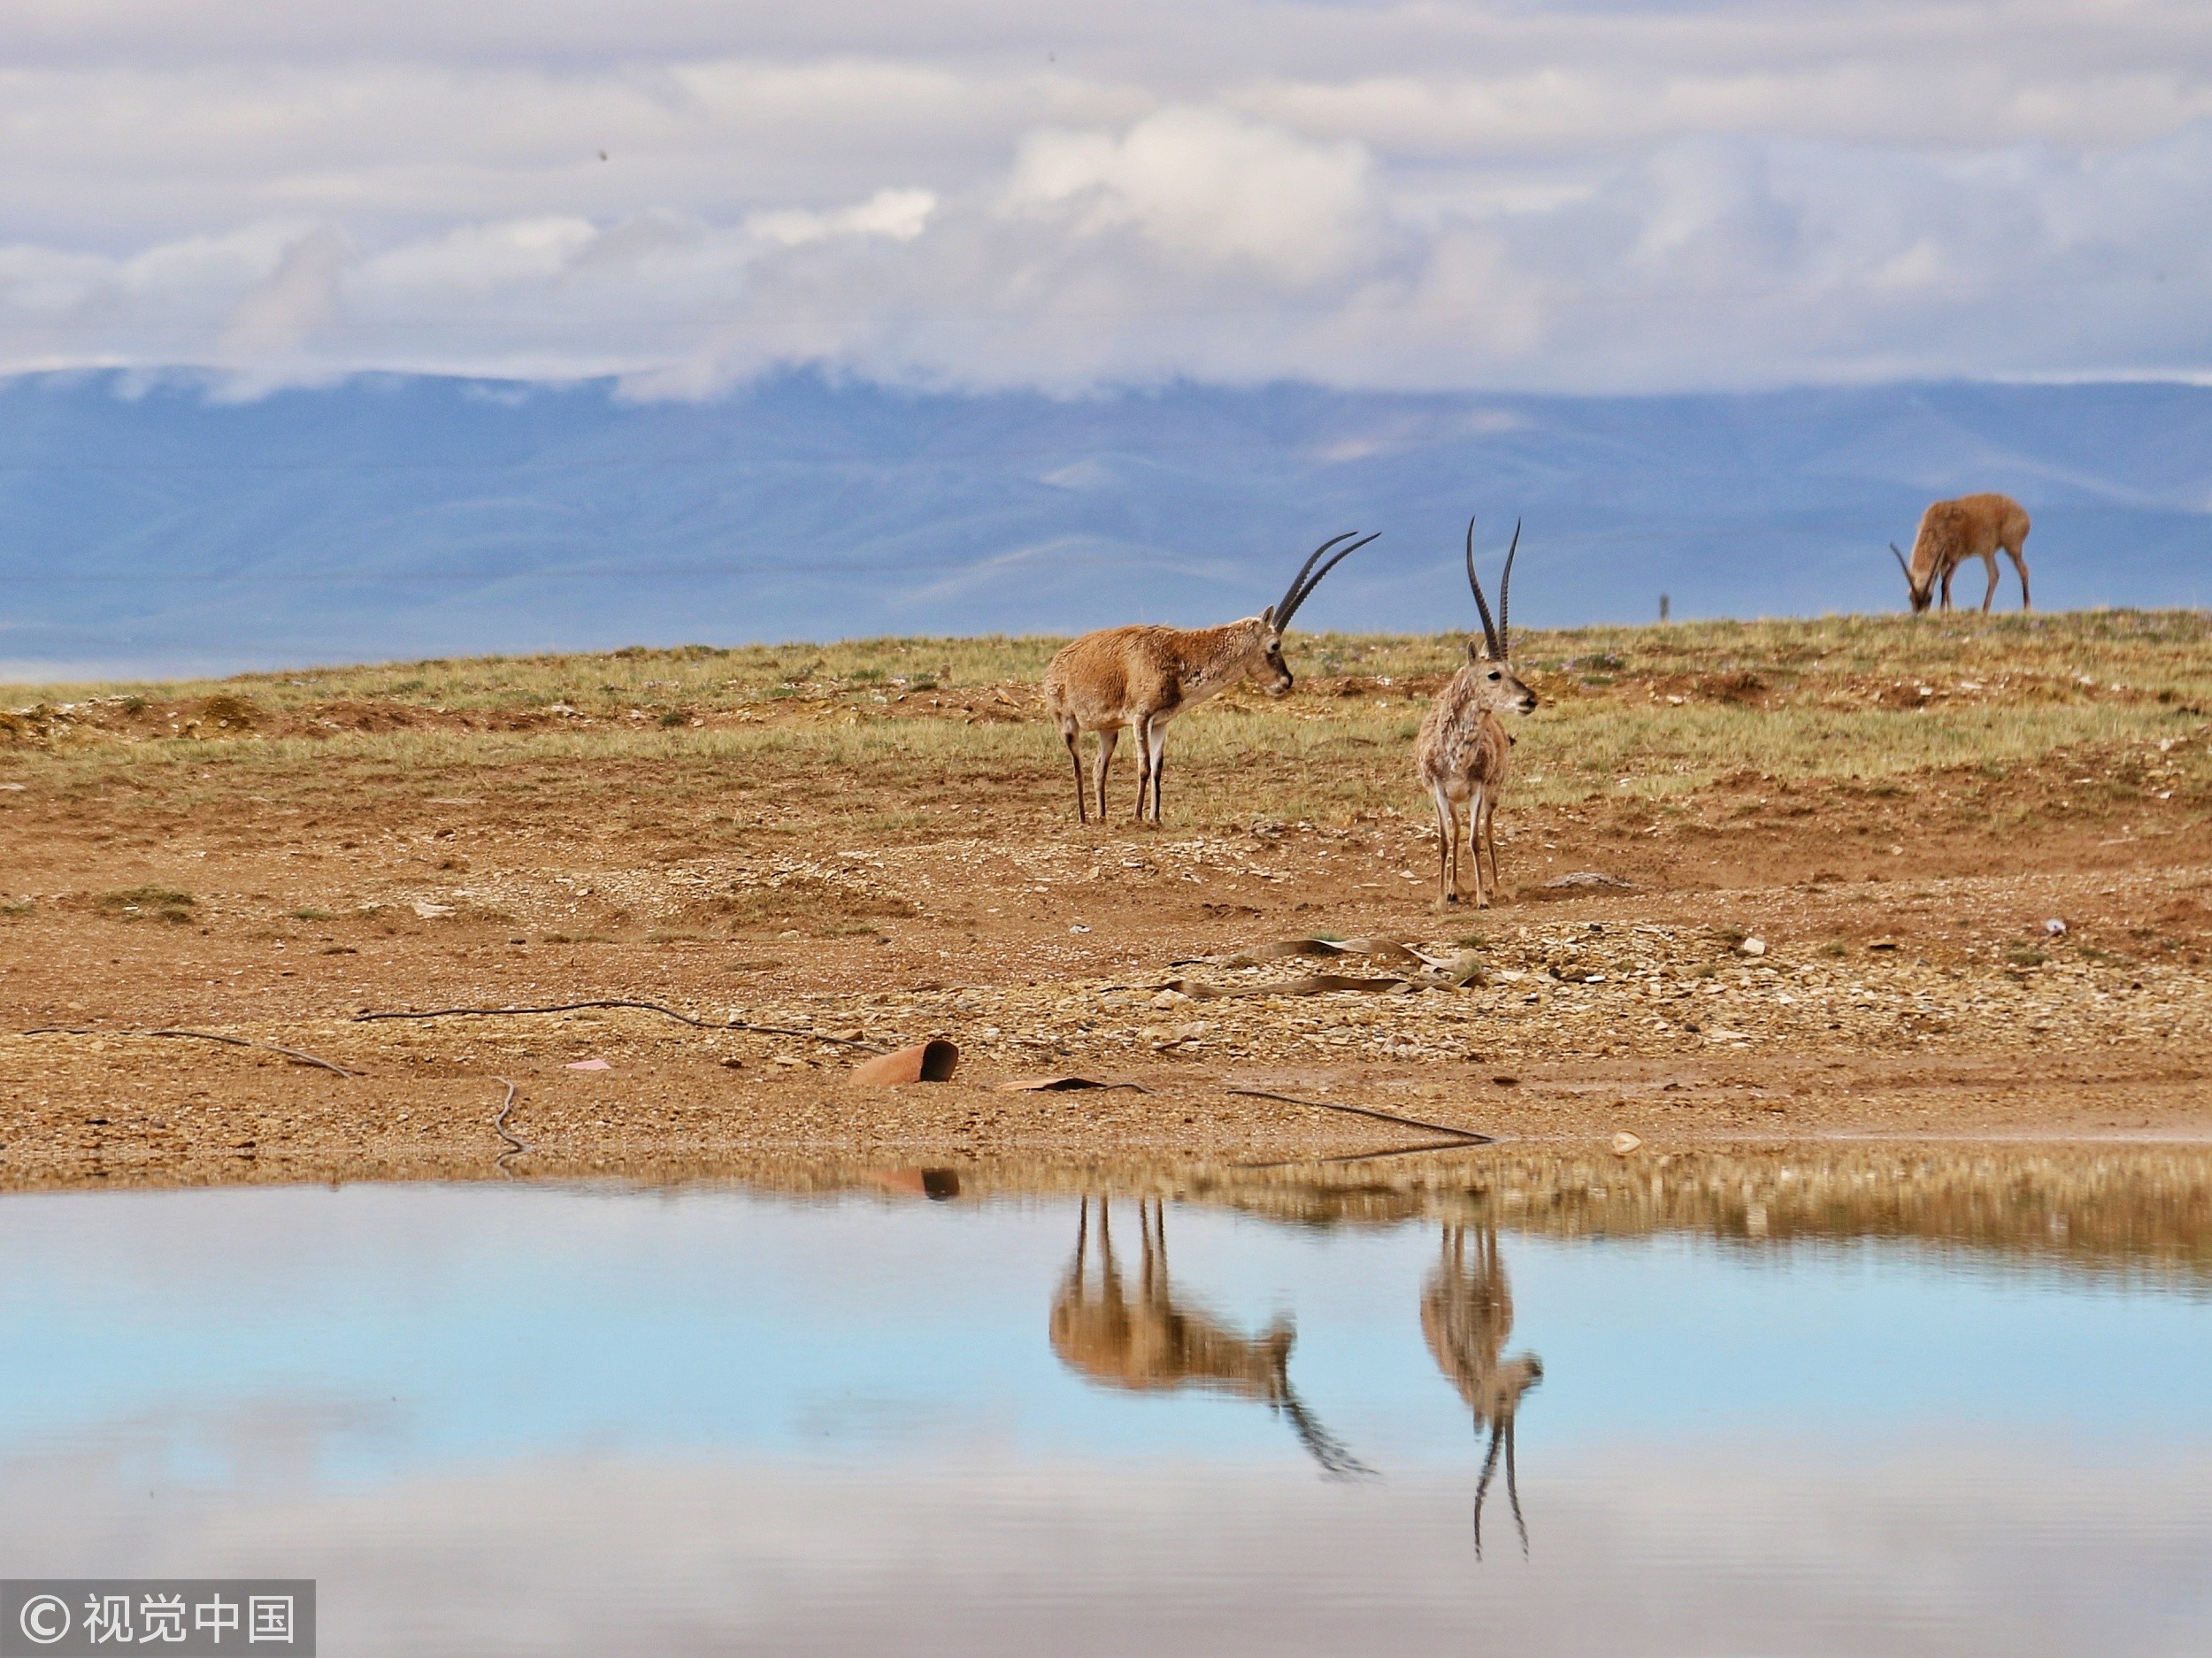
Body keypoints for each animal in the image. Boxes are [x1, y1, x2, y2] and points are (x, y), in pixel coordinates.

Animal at [1040, 533, 1380, 826]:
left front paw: (1155, 817)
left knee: (1098, 767)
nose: (1286, 682)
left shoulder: (1161, 721)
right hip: (1068, 724)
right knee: (1078, 766)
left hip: (1108, 730)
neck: (1176, 654)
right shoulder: (1141, 717)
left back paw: (1101, 815)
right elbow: (1143, 767)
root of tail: (1055, 664)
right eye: (1274, 645)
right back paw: (1083, 817)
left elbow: (1158, 768)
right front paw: (1137, 818)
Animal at [1048, 1194, 1363, 1477]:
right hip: (1098, 1297)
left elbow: (1160, 1241)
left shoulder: (1162, 1299)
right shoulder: (1149, 1303)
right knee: (1097, 1246)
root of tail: (1056, 1339)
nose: (1288, 1330)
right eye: (1278, 1362)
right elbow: (1150, 1251)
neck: (1184, 1355)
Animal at [1416, 519, 1540, 910]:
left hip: (1492, 794)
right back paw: (1454, 889)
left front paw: (1484, 897)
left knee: (1485, 828)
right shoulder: (1439, 790)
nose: (1529, 699)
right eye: (1493, 674)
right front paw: (1440, 899)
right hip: (1450, 801)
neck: (1455, 753)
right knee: (1455, 830)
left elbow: (1474, 839)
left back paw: (1495, 887)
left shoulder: (1478, 790)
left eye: (1513, 669)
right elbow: (1445, 840)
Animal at [1893, 499, 2026, 623]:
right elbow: (1946, 583)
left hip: (2010, 549)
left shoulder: (1955, 560)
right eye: (1910, 597)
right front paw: (1949, 610)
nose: (1919, 616)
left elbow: (1945, 582)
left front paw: (1943, 611)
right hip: (1988, 554)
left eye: (1930, 597)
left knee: (2021, 570)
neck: (1937, 526)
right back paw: (1984, 610)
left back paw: (2026, 608)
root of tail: (2024, 515)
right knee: (1995, 575)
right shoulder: (1943, 563)